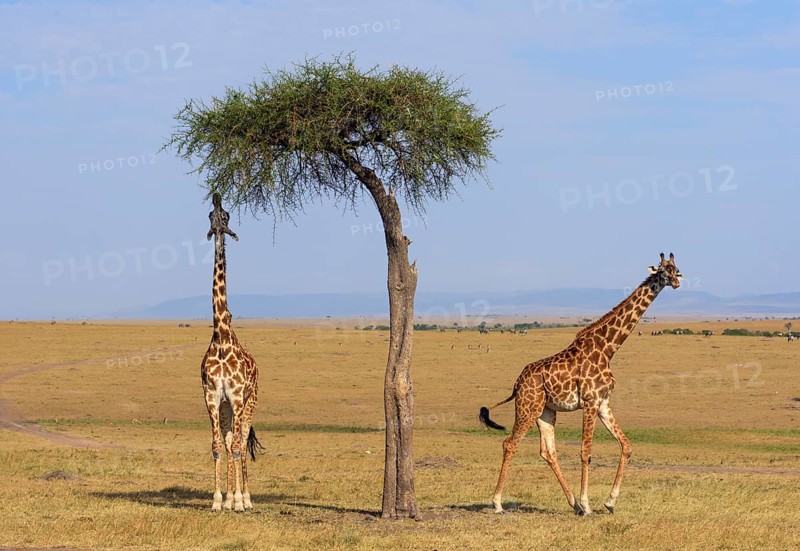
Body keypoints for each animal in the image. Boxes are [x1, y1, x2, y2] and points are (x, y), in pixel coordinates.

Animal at [479, 253, 682, 515]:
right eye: (664, 271)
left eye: (677, 269)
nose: (676, 282)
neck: (608, 348)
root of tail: (517, 383)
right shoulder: (590, 401)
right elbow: (586, 451)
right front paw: (587, 504)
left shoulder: (603, 402)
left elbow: (626, 446)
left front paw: (609, 502)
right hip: (527, 408)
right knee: (509, 444)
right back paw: (497, 503)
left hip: (545, 411)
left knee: (548, 452)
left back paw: (572, 503)